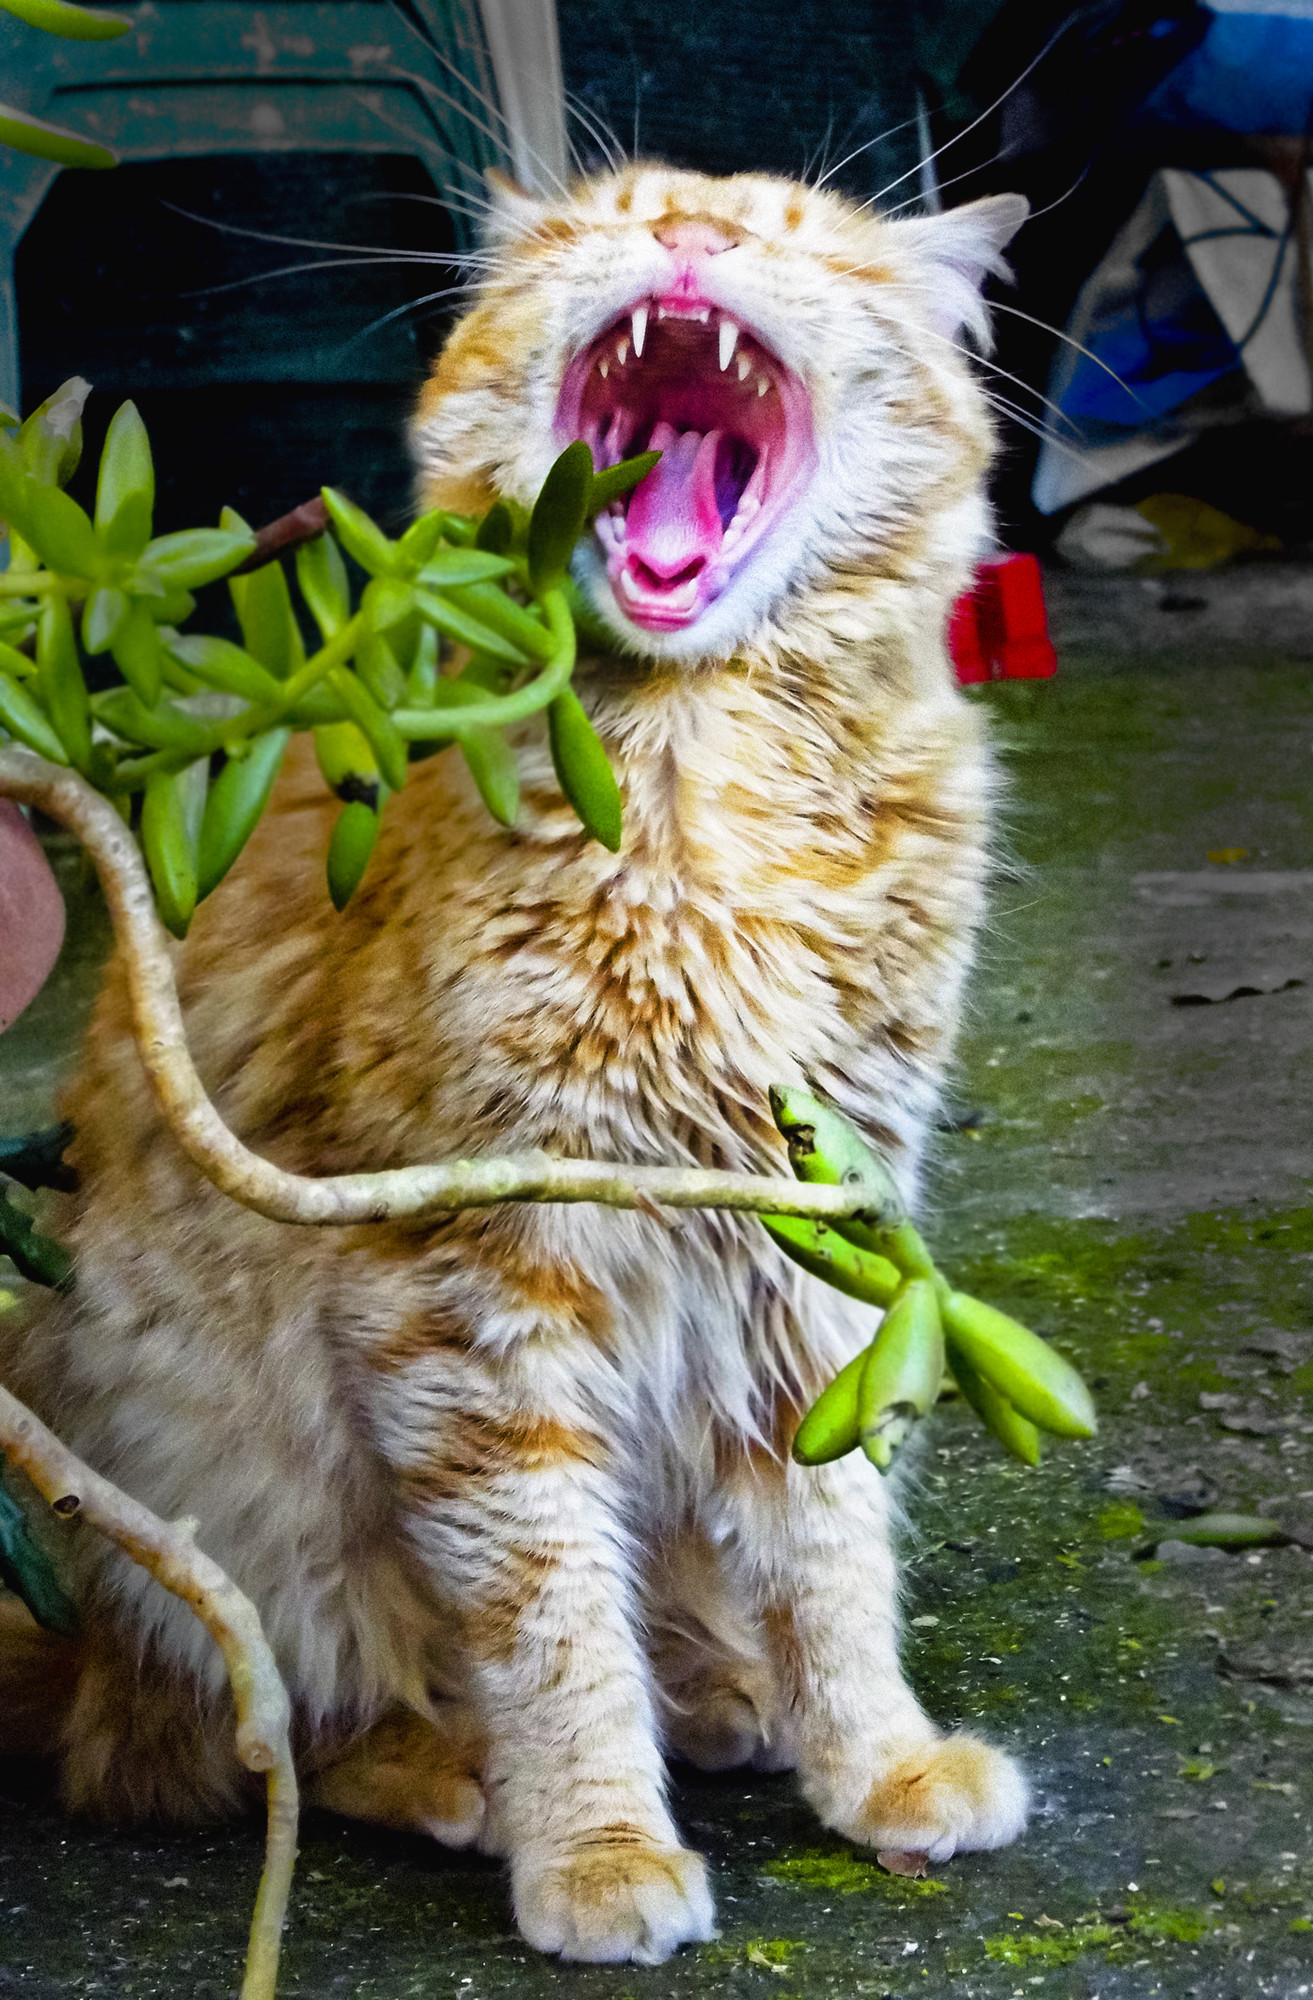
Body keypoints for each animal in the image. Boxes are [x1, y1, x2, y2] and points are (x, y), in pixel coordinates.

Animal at [0, 164, 1032, 1960]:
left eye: (784, 232)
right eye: (614, 213)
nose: (691, 236)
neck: (701, 782)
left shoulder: (815, 1232)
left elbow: (830, 1544)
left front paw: (875, 1760)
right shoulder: (474, 1275)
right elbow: (547, 1614)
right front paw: (599, 1846)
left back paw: (726, 1699)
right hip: (208, 1510)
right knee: (243, 1735)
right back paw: (456, 1777)